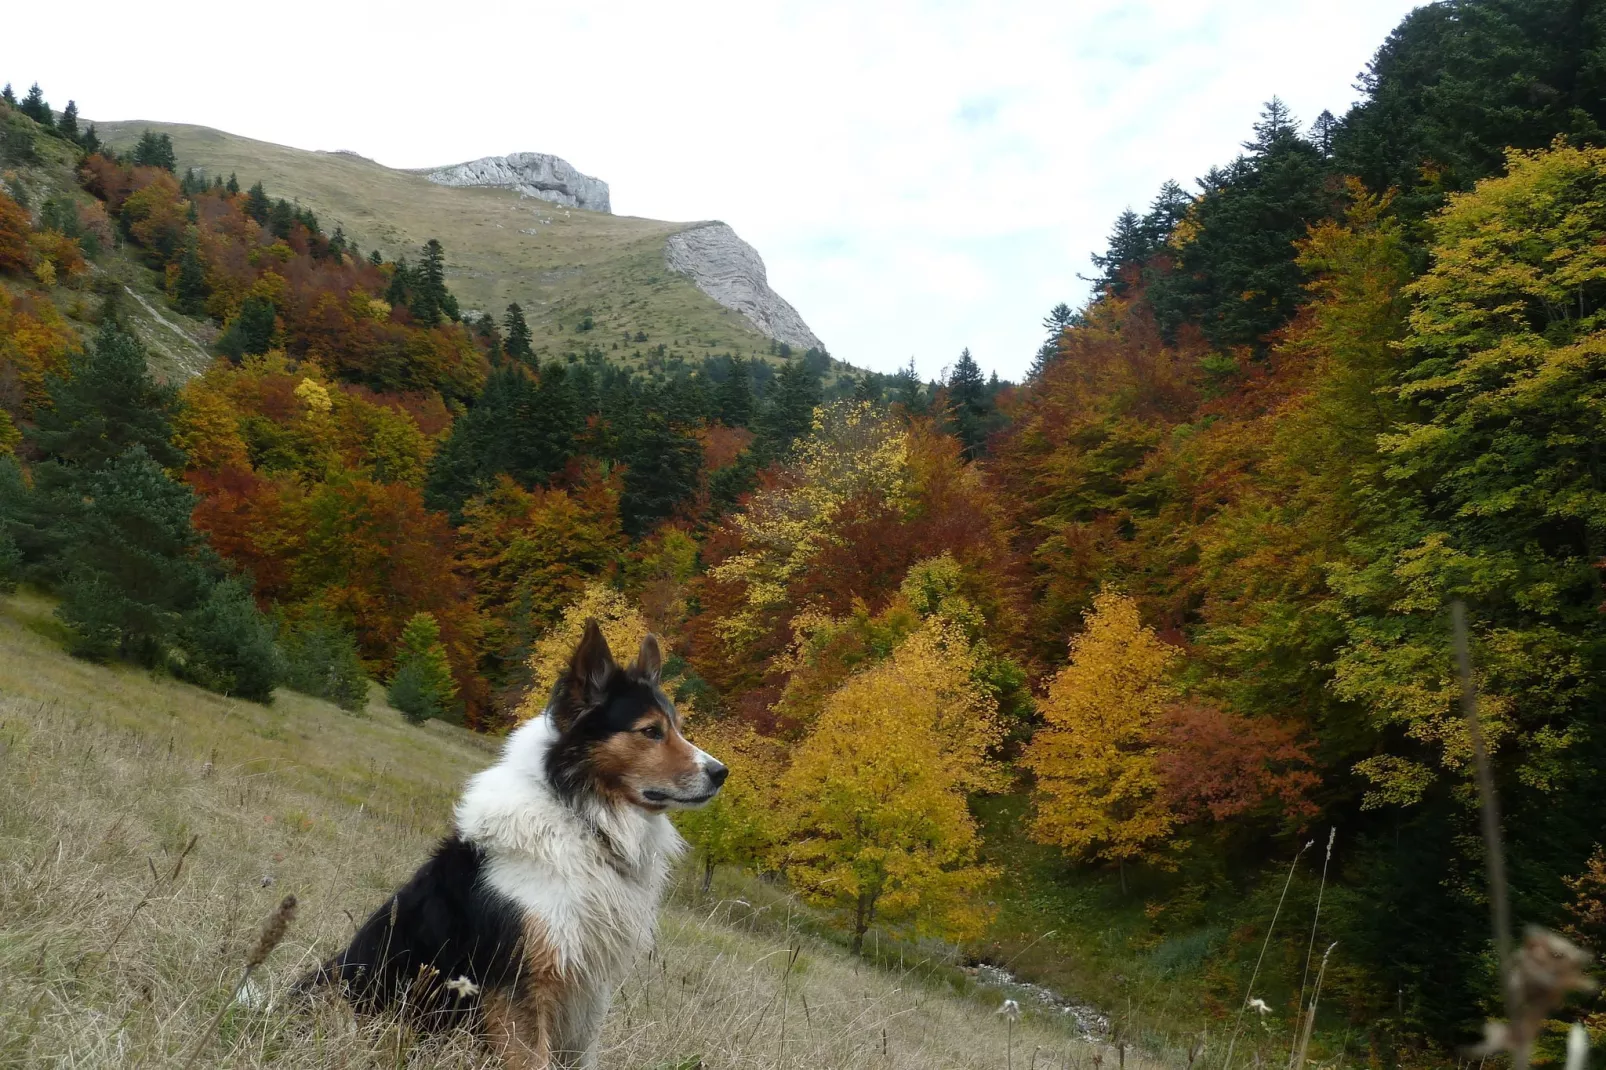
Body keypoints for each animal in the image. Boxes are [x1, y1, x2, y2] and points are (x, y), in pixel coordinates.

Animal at [301, 620, 729, 1060]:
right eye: (650, 731)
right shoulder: (522, 984)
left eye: (678, 729)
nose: (721, 773)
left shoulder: (588, 993)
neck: (578, 815)